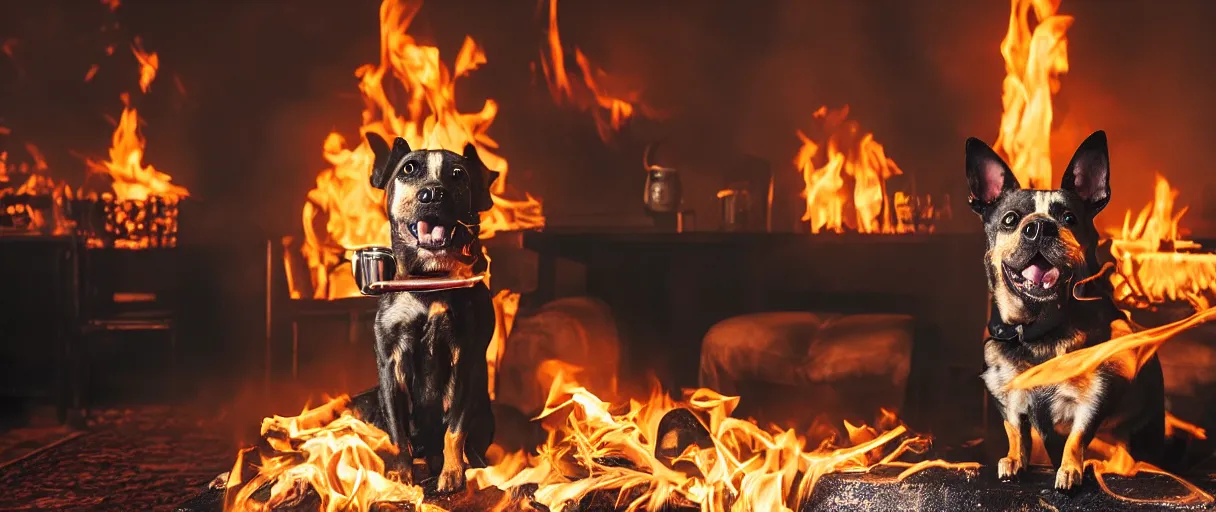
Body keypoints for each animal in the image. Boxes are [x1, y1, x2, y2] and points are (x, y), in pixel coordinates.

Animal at [362, 133, 496, 493]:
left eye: (458, 174)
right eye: (409, 168)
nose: (433, 193)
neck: (429, 283)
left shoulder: (466, 360)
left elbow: (455, 430)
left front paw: (453, 473)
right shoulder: (389, 365)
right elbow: (398, 436)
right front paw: (401, 475)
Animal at [967, 131, 1167, 491]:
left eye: (1069, 219)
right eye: (1010, 220)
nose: (1039, 227)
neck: (1041, 330)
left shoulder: (1094, 398)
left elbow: (1076, 437)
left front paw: (1070, 469)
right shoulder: (1009, 396)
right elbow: (1016, 431)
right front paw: (1014, 460)